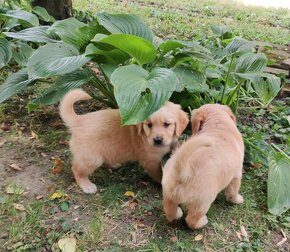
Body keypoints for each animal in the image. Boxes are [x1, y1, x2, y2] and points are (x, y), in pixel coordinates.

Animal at [60, 88, 189, 193]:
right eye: (149, 125)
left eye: (167, 124)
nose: (157, 140)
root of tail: (78, 121)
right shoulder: (151, 161)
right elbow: (158, 174)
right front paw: (162, 182)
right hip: (91, 158)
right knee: (77, 169)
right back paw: (86, 185)